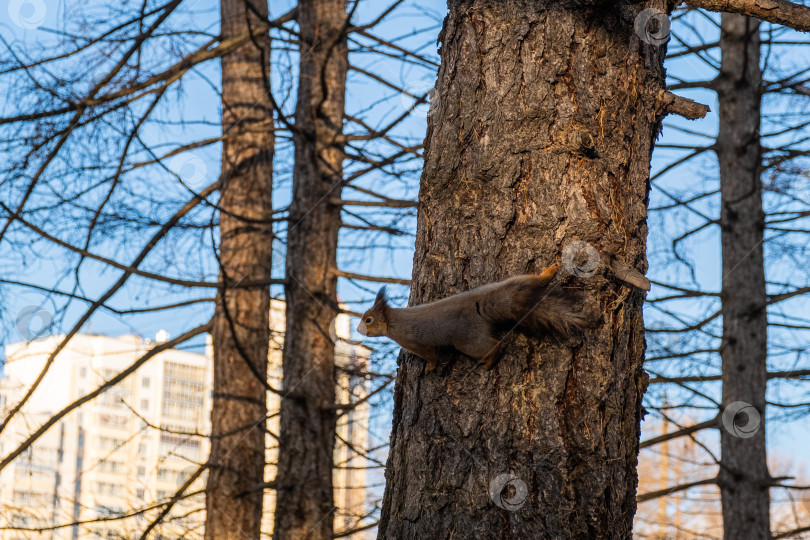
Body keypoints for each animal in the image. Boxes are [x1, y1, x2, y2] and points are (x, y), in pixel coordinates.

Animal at [356, 264, 592, 374]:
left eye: (368, 320)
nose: (359, 330)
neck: (393, 320)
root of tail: (478, 305)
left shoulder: (412, 341)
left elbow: (430, 354)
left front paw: (431, 367)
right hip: (506, 284)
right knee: (529, 280)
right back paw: (547, 273)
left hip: (467, 340)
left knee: (494, 345)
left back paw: (489, 359)